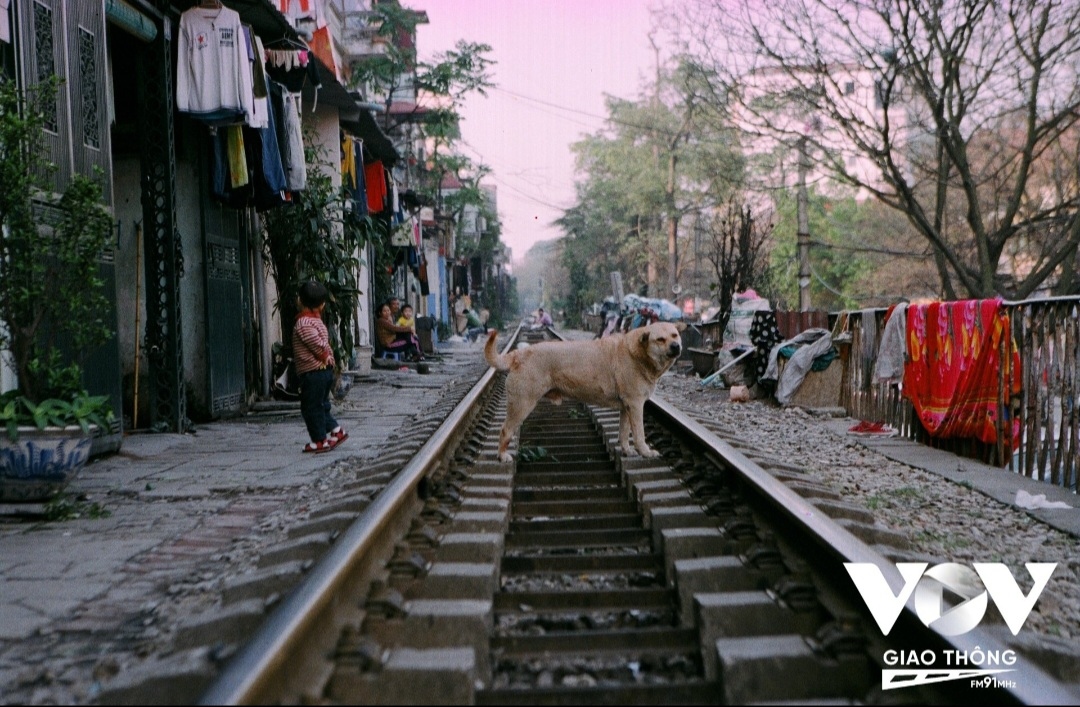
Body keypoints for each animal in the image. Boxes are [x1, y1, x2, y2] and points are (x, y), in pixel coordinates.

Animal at [483, 321, 682, 464]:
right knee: (505, 430)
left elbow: (624, 433)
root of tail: (519, 354)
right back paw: (502, 456)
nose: (676, 346)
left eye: (675, 335)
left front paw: (627, 451)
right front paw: (646, 452)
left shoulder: (627, 407)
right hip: (522, 404)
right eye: (660, 339)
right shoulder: (636, 404)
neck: (638, 353)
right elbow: (639, 434)